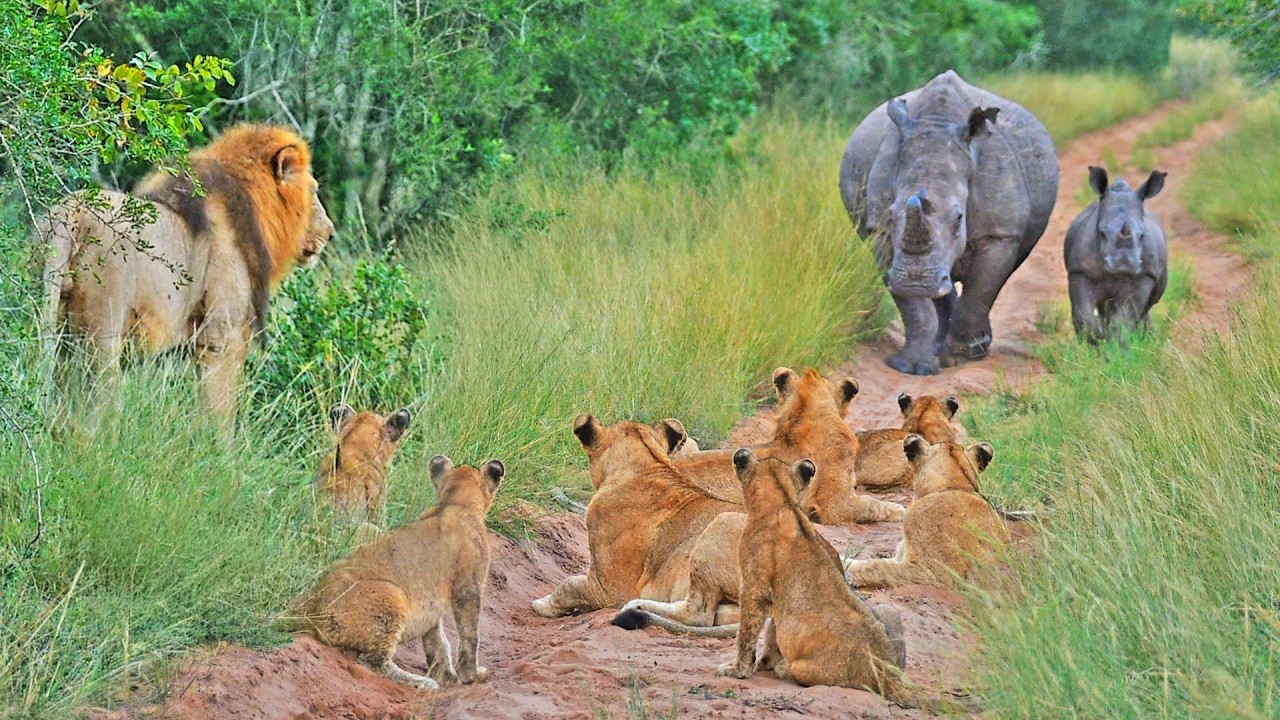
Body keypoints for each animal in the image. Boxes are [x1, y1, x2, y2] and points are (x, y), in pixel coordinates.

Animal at [39, 124, 335, 426]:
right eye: (314, 191)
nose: (331, 232)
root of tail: (73, 215)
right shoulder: (221, 335)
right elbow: (220, 408)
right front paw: (218, 439)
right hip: (103, 329)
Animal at [289, 455, 504, 688]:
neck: (455, 502)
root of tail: (310, 605)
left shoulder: (432, 606)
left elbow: (437, 642)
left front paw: (447, 677)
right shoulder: (468, 585)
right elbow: (469, 634)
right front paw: (471, 675)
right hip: (391, 597)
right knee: (371, 662)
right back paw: (422, 682)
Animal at [840, 70, 1058, 375]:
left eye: (959, 218)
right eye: (892, 215)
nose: (916, 282)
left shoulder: (1001, 234)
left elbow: (981, 291)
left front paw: (958, 357)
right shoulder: (880, 232)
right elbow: (912, 306)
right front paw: (912, 366)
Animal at [1064, 166, 1168, 343]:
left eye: (1141, 235)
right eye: (1102, 233)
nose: (1124, 265)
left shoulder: (1144, 275)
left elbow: (1124, 319)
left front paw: (1117, 346)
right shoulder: (1080, 271)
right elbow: (1083, 315)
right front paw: (1095, 343)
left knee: (1143, 309)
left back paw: (1147, 339)